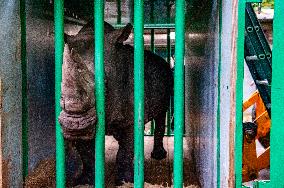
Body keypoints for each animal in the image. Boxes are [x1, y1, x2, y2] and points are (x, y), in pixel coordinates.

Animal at [58, 21, 172, 186]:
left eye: (105, 84)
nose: (74, 125)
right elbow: (86, 153)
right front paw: (85, 181)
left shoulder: (132, 119)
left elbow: (125, 151)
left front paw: (125, 181)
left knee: (161, 113)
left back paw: (158, 155)